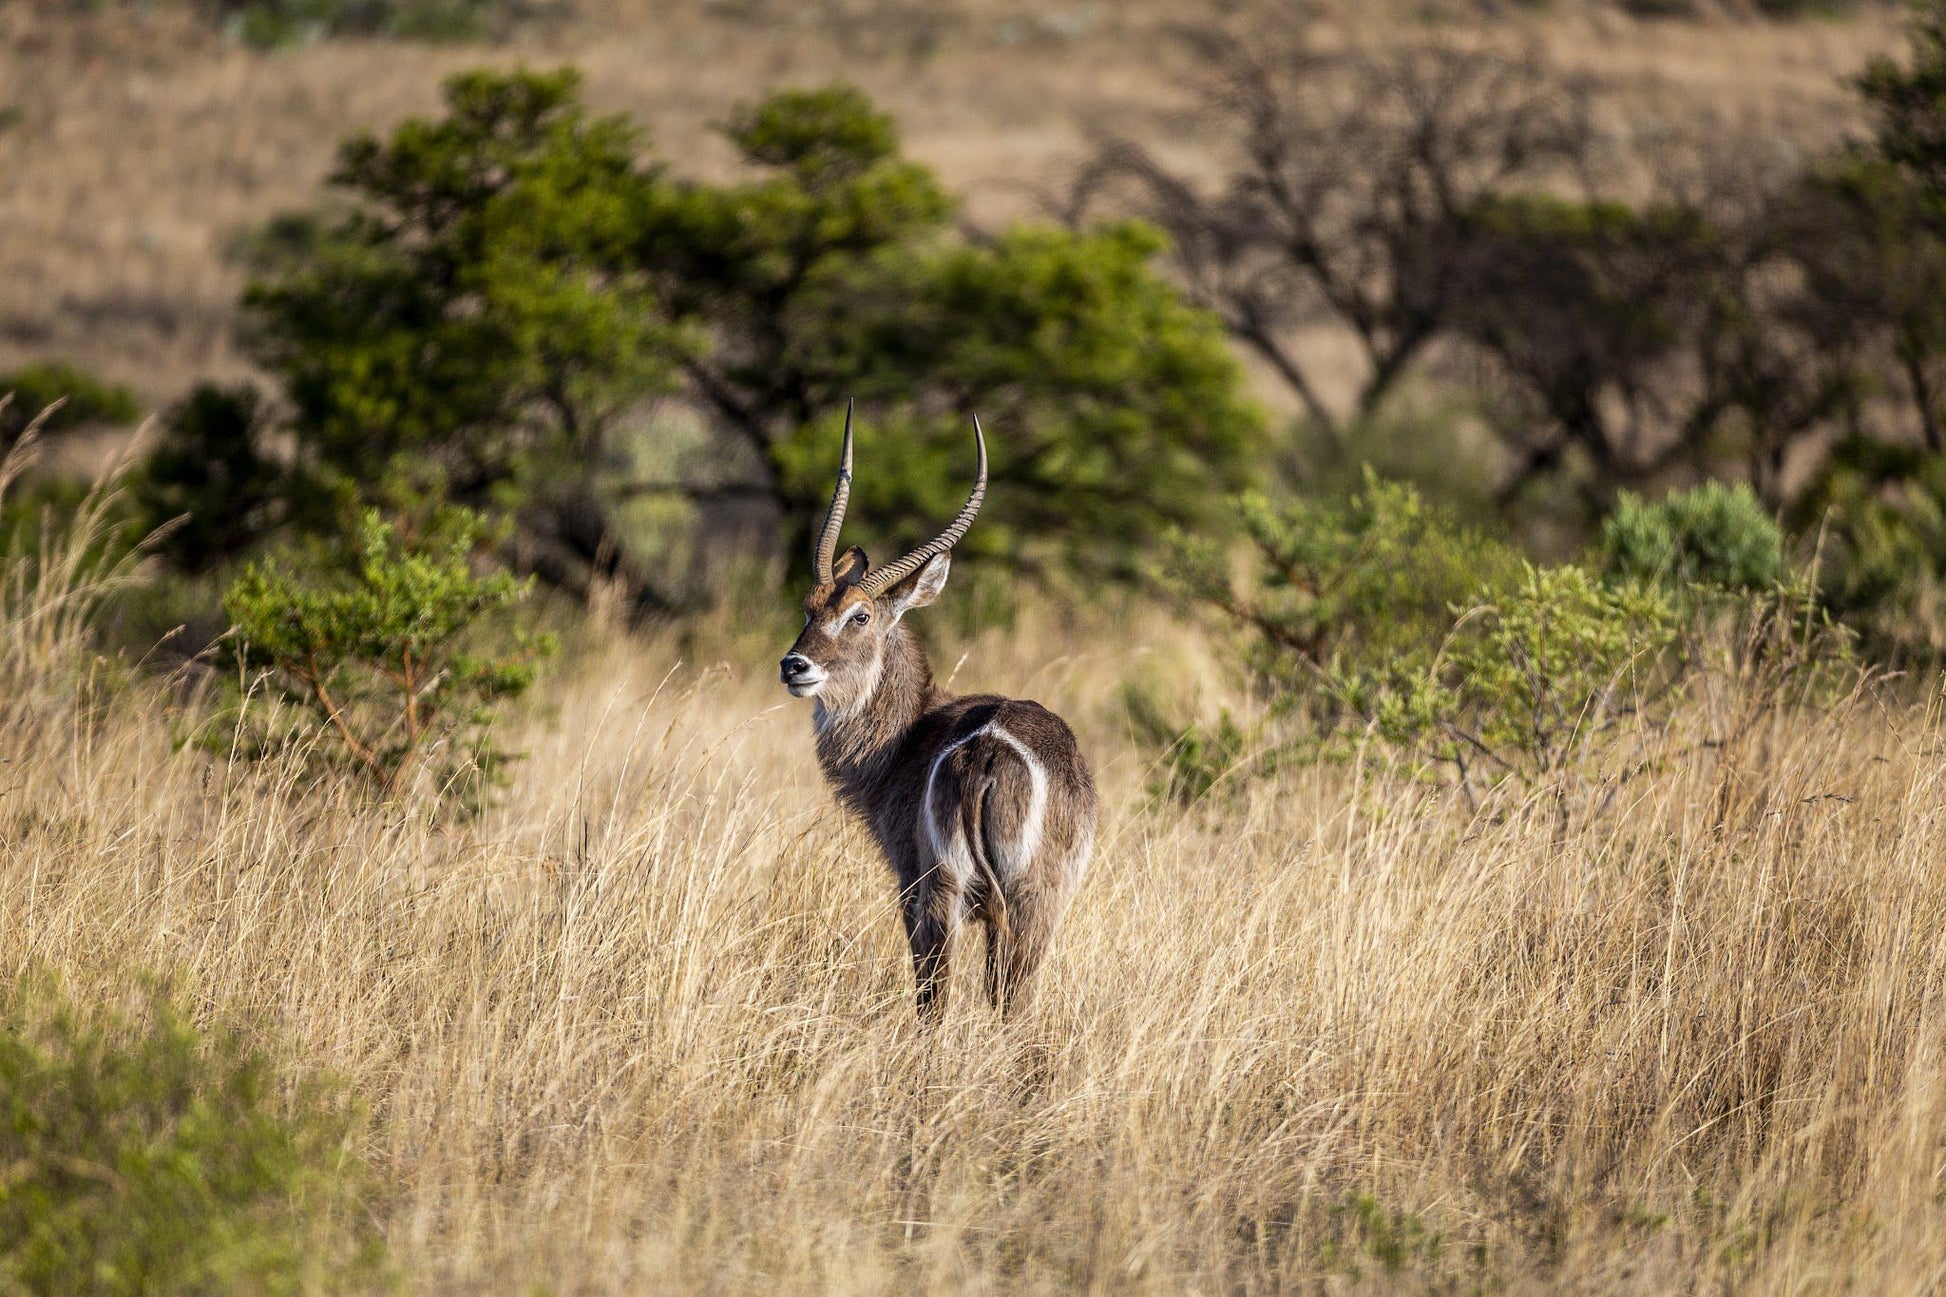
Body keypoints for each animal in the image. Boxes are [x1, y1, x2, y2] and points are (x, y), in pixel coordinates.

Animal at [782, 399, 1105, 1012]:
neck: (907, 734)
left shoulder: (908, 881)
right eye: (809, 607)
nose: (794, 666)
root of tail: (986, 751)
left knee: (942, 998)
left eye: (860, 615)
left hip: (945, 893)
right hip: (1019, 901)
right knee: (999, 998)